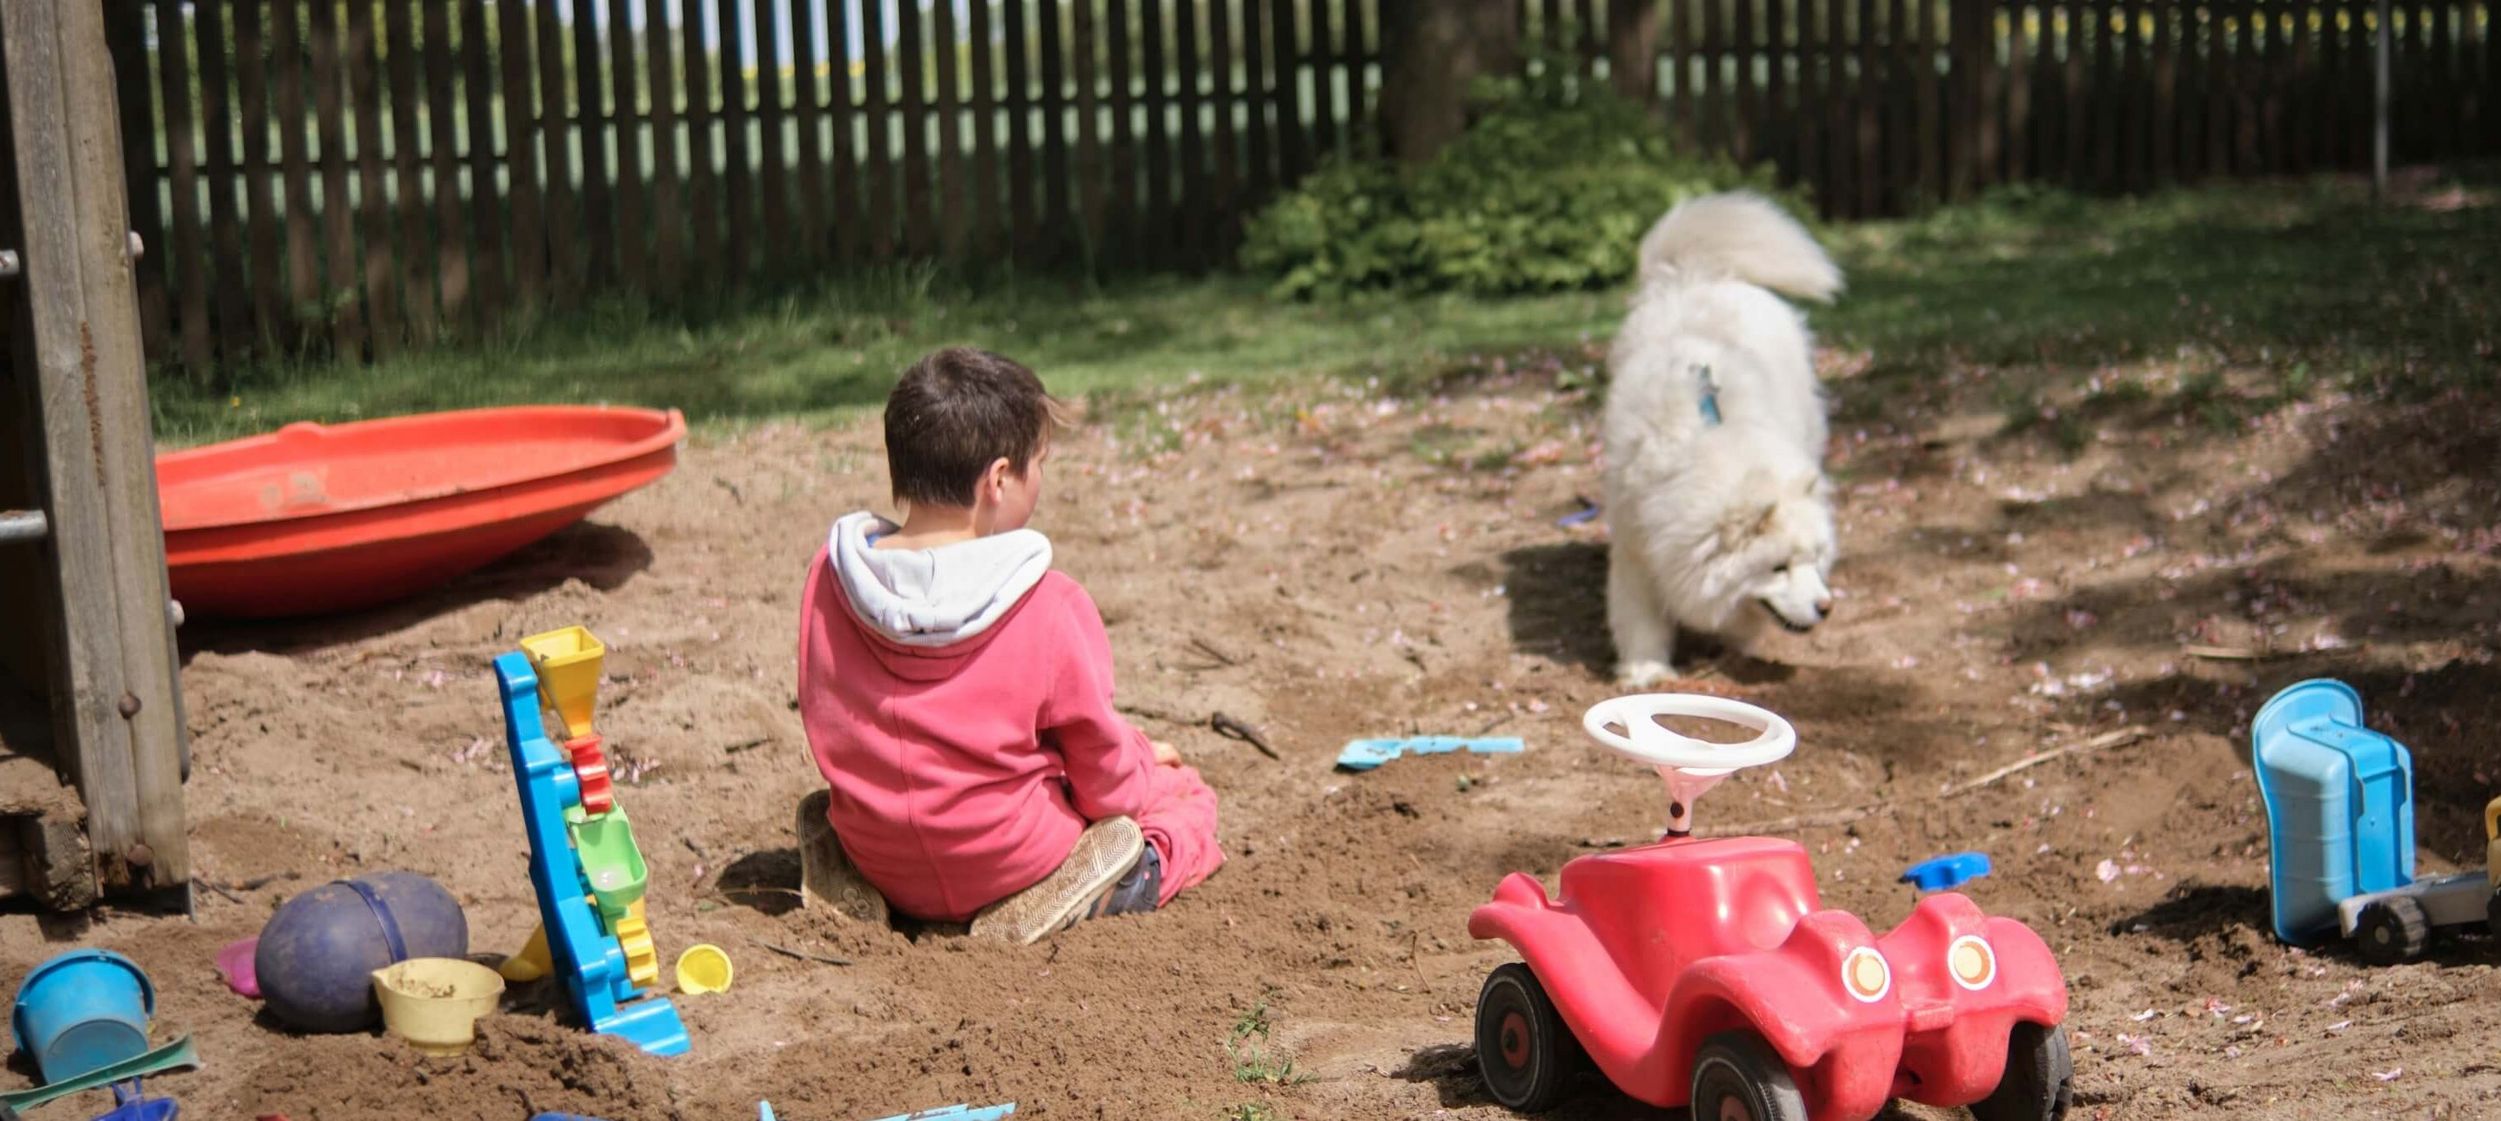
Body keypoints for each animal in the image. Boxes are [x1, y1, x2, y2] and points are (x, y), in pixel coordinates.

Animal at [1600, 191, 1840, 680]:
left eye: (1814, 557)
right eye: (1778, 567)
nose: (1826, 607)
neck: (1709, 439)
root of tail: (1701, 275)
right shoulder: (1636, 551)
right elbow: (1639, 619)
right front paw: (1647, 672)